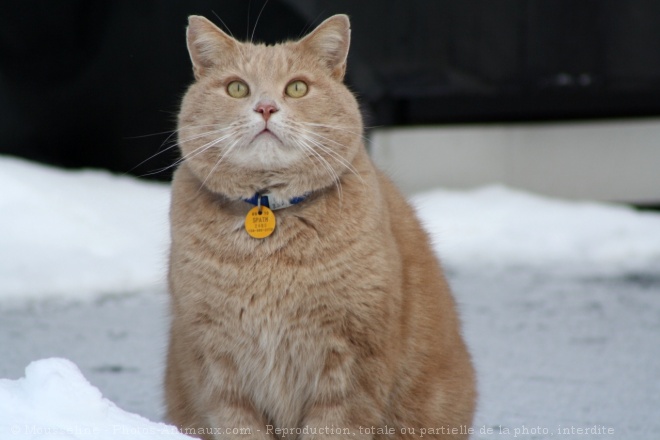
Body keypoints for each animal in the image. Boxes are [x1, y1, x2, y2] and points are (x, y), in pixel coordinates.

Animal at [164, 12, 474, 438]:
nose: (265, 108)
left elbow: (333, 426)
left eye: (296, 88)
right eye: (237, 88)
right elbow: (238, 424)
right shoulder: (219, 368)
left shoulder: (351, 363)